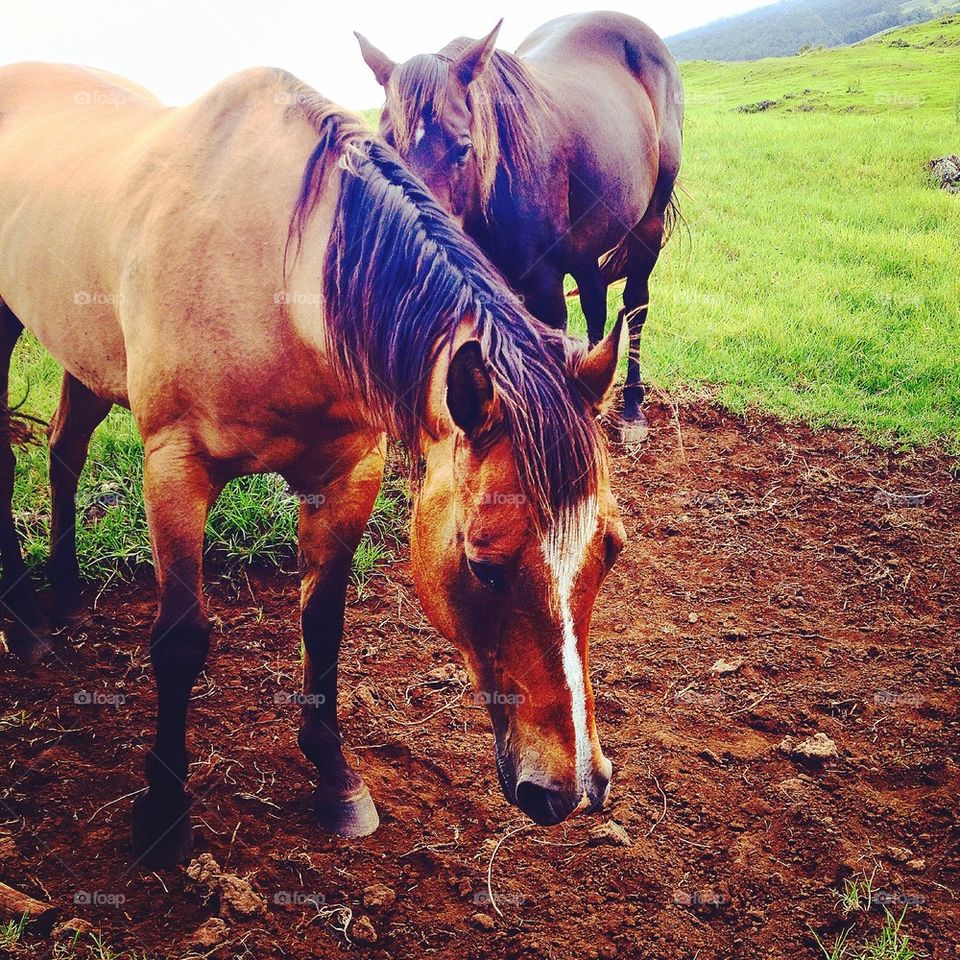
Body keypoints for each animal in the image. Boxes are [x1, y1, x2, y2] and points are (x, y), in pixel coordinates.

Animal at [0, 62, 628, 868]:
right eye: (483, 565)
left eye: (610, 552)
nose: (571, 787)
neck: (274, 275)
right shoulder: (174, 468)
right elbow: (180, 641)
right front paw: (165, 812)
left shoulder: (348, 474)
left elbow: (323, 619)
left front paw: (335, 777)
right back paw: (26, 621)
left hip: (85, 353)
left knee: (62, 451)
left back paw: (66, 595)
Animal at [356, 11, 685, 444]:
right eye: (383, 144)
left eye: (463, 148)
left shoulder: (544, 287)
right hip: (586, 243)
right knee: (596, 303)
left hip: (648, 225)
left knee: (635, 305)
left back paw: (631, 407)